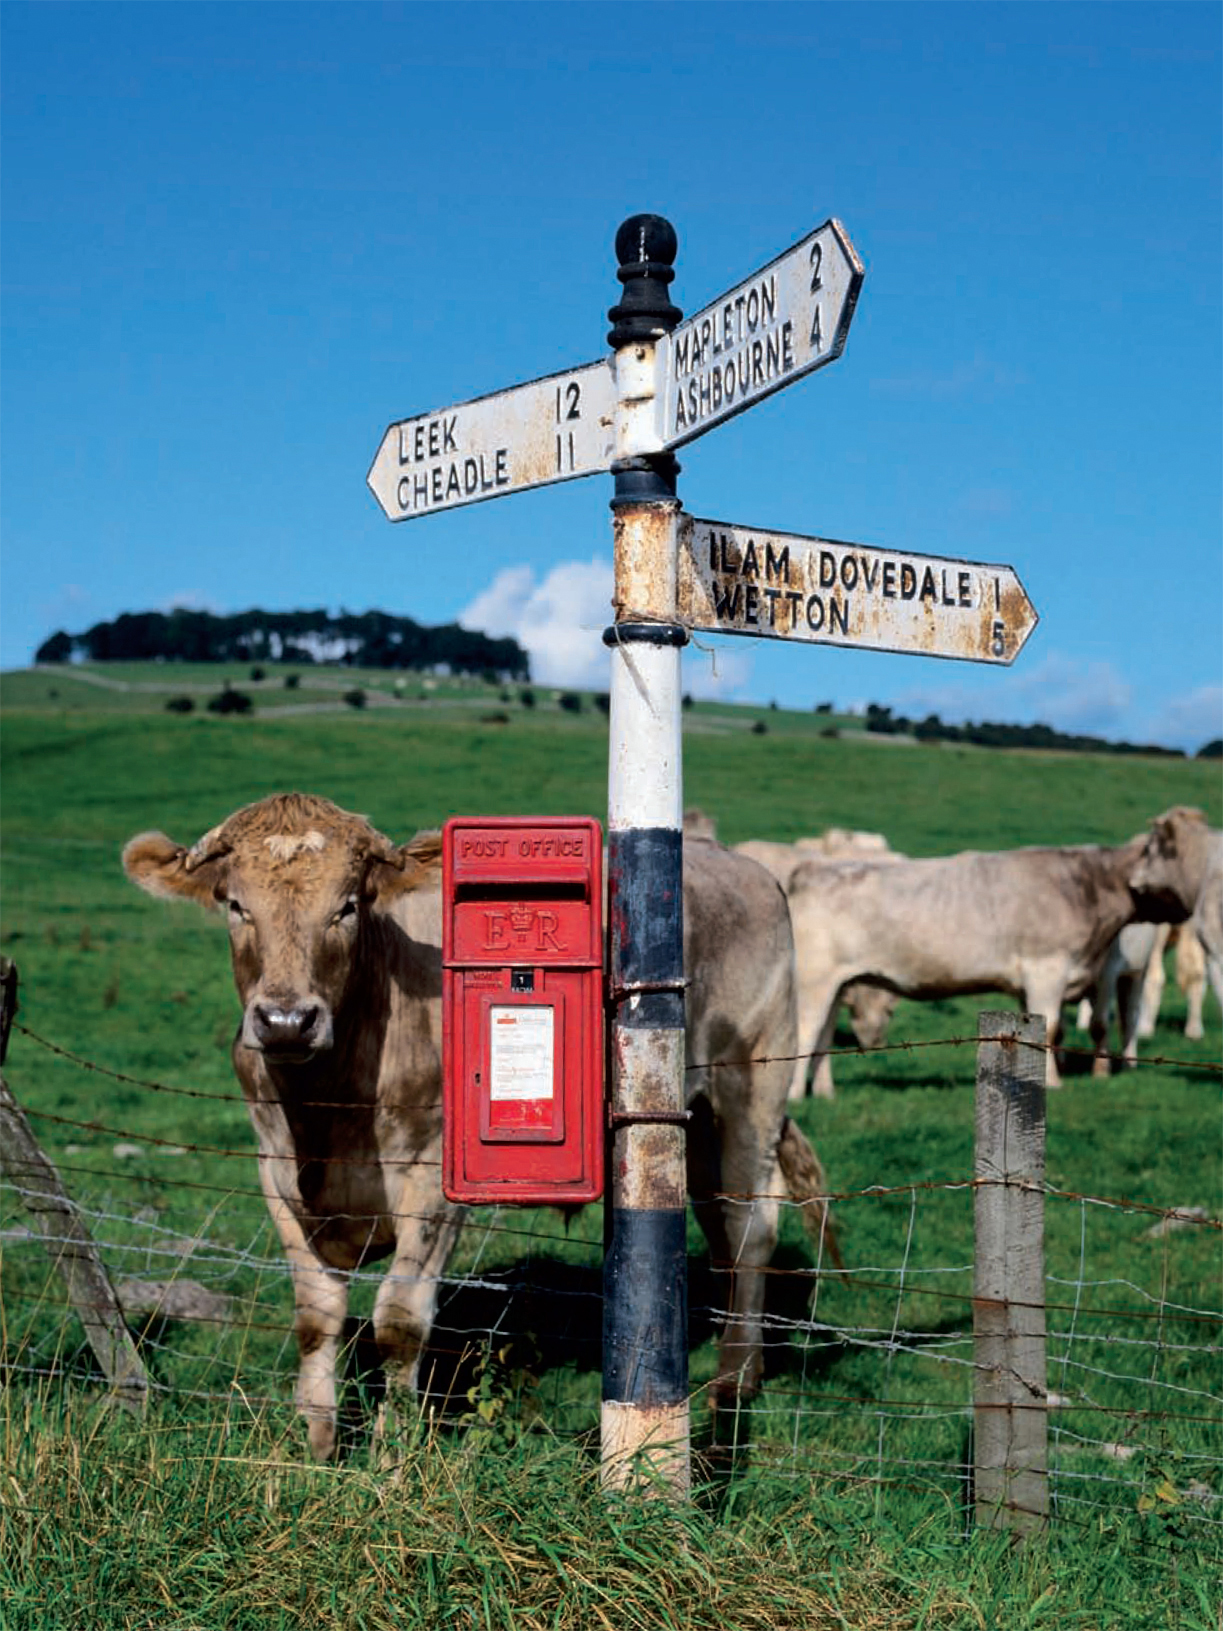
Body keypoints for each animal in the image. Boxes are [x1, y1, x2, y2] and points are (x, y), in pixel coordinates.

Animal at [127, 789, 834, 1454]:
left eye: (347, 907)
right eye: (235, 905)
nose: (285, 1021)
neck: (328, 1107)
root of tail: (743, 864)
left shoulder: (433, 1179)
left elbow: (398, 1321)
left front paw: (390, 1458)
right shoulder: (275, 1174)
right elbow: (315, 1319)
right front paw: (318, 1449)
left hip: (751, 1088)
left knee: (751, 1228)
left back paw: (735, 1379)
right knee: (722, 1227)